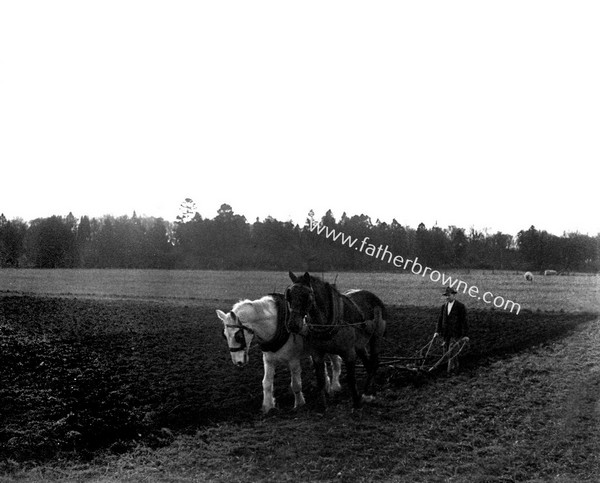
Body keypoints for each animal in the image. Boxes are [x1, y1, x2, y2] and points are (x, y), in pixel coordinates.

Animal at [284, 270, 386, 410]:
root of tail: (374, 297)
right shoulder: (317, 354)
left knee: (374, 364)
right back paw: (370, 393)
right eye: (289, 296)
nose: (293, 325)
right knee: (369, 365)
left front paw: (356, 403)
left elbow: (351, 378)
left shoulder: (349, 353)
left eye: (306, 295)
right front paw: (323, 406)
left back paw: (366, 394)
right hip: (360, 346)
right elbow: (320, 380)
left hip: (376, 338)